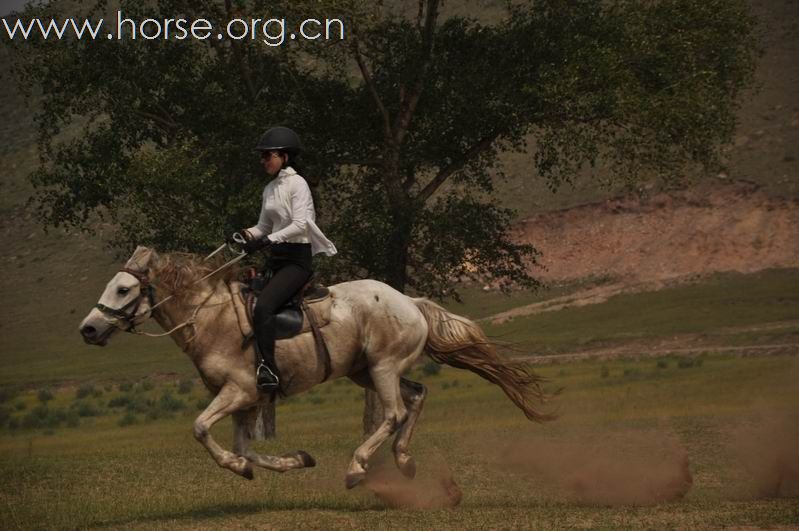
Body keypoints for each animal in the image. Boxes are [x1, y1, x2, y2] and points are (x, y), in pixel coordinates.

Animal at [81, 247, 556, 488]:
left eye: (123, 289)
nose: (88, 329)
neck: (210, 318)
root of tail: (411, 302)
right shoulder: (247, 402)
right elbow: (247, 449)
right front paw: (293, 460)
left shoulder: (238, 392)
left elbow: (200, 429)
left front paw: (238, 466)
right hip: (367, 371)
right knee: (418, 397)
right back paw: (403, 460)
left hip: (382, 368)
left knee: (394, 413)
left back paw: (358, 468)